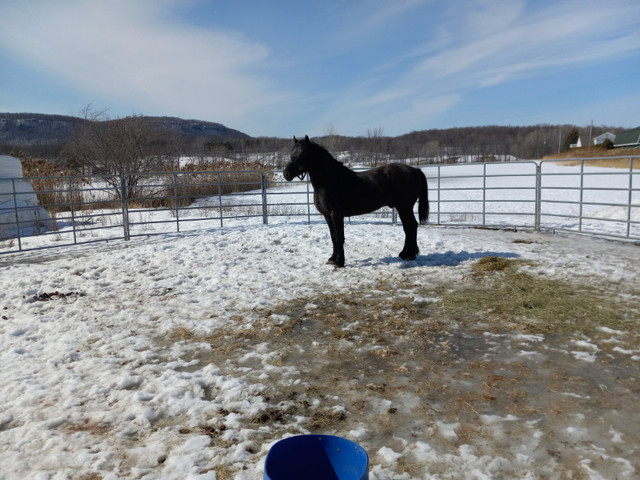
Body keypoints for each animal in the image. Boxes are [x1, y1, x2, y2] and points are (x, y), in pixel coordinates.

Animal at [284, 137, 430, 268]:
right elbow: (333, 236)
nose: (286, 173)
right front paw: (332, 258)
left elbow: (339, 236)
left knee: (411, 226)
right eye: (292, 154)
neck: (329, 181)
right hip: (401, 208)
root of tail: (415, 170)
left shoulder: (336, 214)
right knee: (407, 227)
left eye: (302, 154)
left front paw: (339, 262)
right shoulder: (327, 216)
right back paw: (405, 254)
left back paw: (410, 255)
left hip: (404, 207)